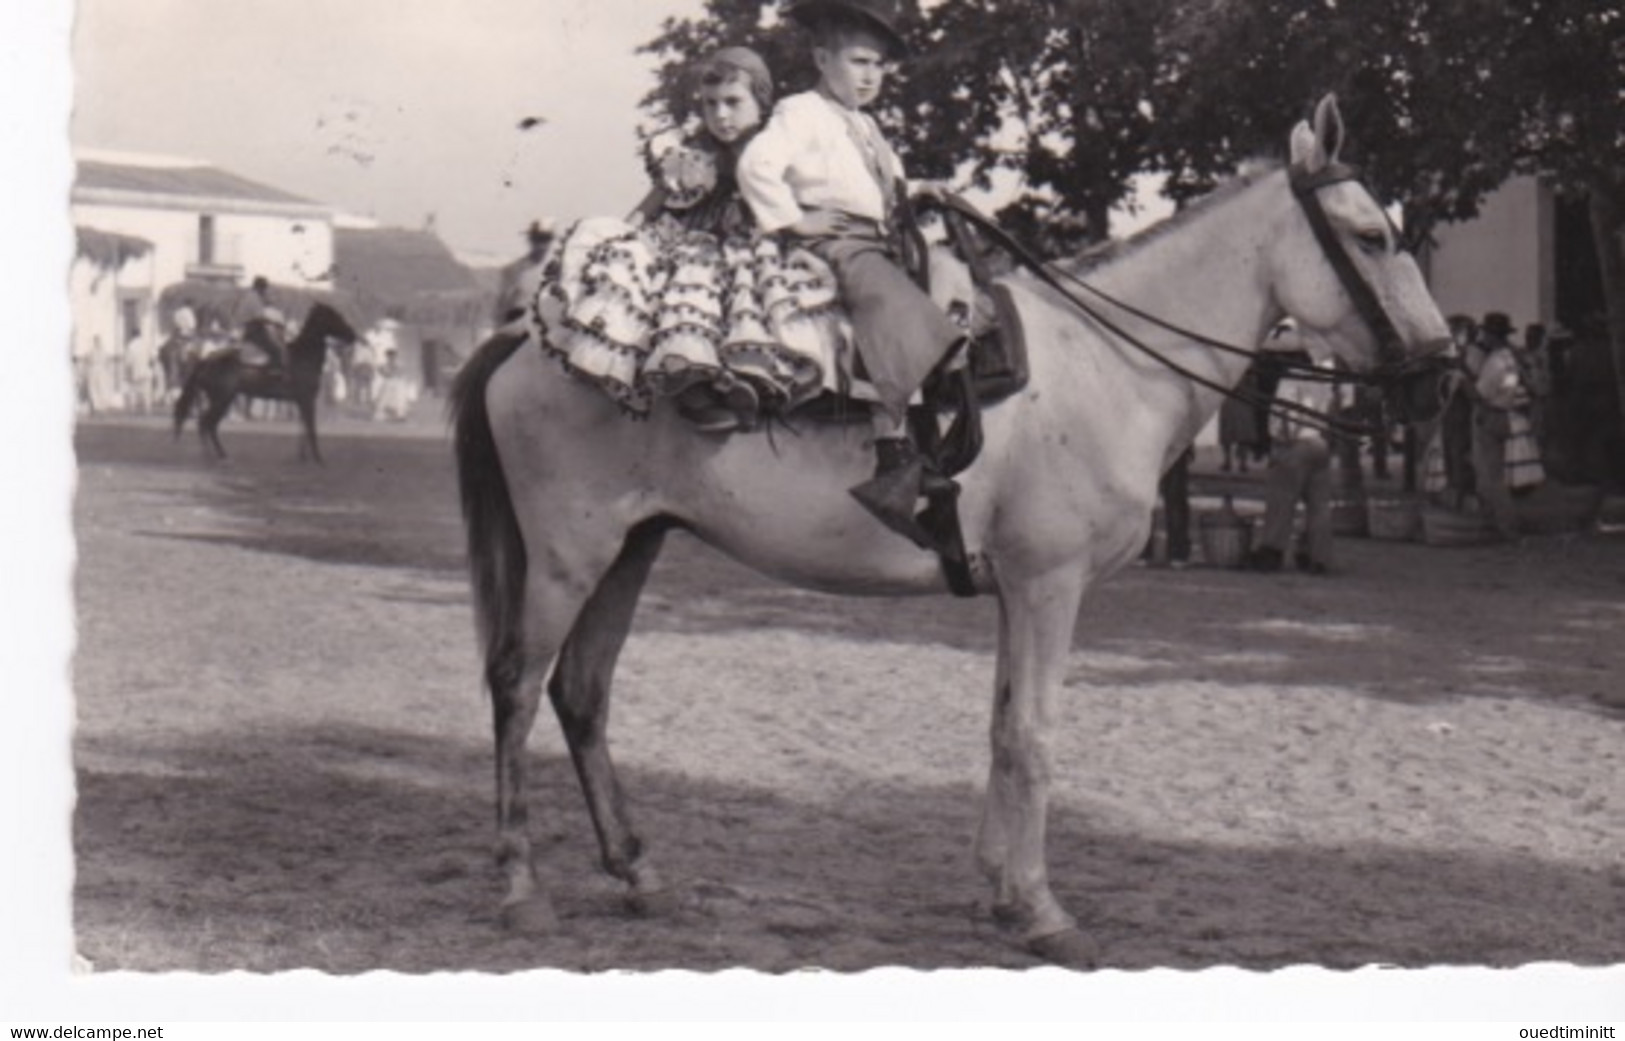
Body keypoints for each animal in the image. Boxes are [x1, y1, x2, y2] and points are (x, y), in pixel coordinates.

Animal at [173, 300, 359, 461]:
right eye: (334, 316)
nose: (352, 335)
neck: (304, 356)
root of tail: (206, 359)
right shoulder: (307, 399)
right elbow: (311, 429)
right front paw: (318, 458)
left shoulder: (302, 401)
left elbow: (305, 429)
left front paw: (303, 457)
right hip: (221, 399)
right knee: (206, 423)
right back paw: (213, 457)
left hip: (223, 399)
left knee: (208, 425)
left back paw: (218, 455)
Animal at [451, 99, 1456, 967]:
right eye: (1372, 236)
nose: (1439, 372)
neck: (1106, 363)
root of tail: (522, 341)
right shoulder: (1049, 584)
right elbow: (1036, 734)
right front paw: (1045, 911)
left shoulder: (1016, 587)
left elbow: (1002, 726)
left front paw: (1004, 893)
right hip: (568, 557)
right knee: (517, 684)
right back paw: (521, 889)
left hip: (632, 547)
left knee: (582, 691)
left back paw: (639, 871)